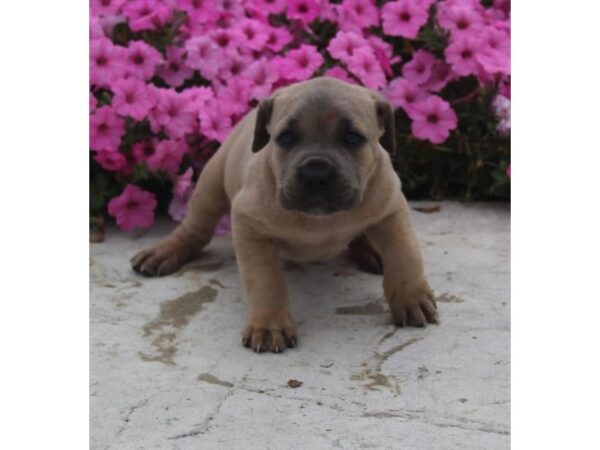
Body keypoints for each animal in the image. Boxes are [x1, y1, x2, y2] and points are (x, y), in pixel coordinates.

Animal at [131, 76, 436, 352]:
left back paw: (372, 250)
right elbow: (266, 280)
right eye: (286, 138)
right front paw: (269, 326)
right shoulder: (250, 227)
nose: (316, 172)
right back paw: (164, 252)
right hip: (210, 184)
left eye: (353, 139)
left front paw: (410, 298)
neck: (320, 221)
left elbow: (405, 255)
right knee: (195, 229)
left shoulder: (392, 210)